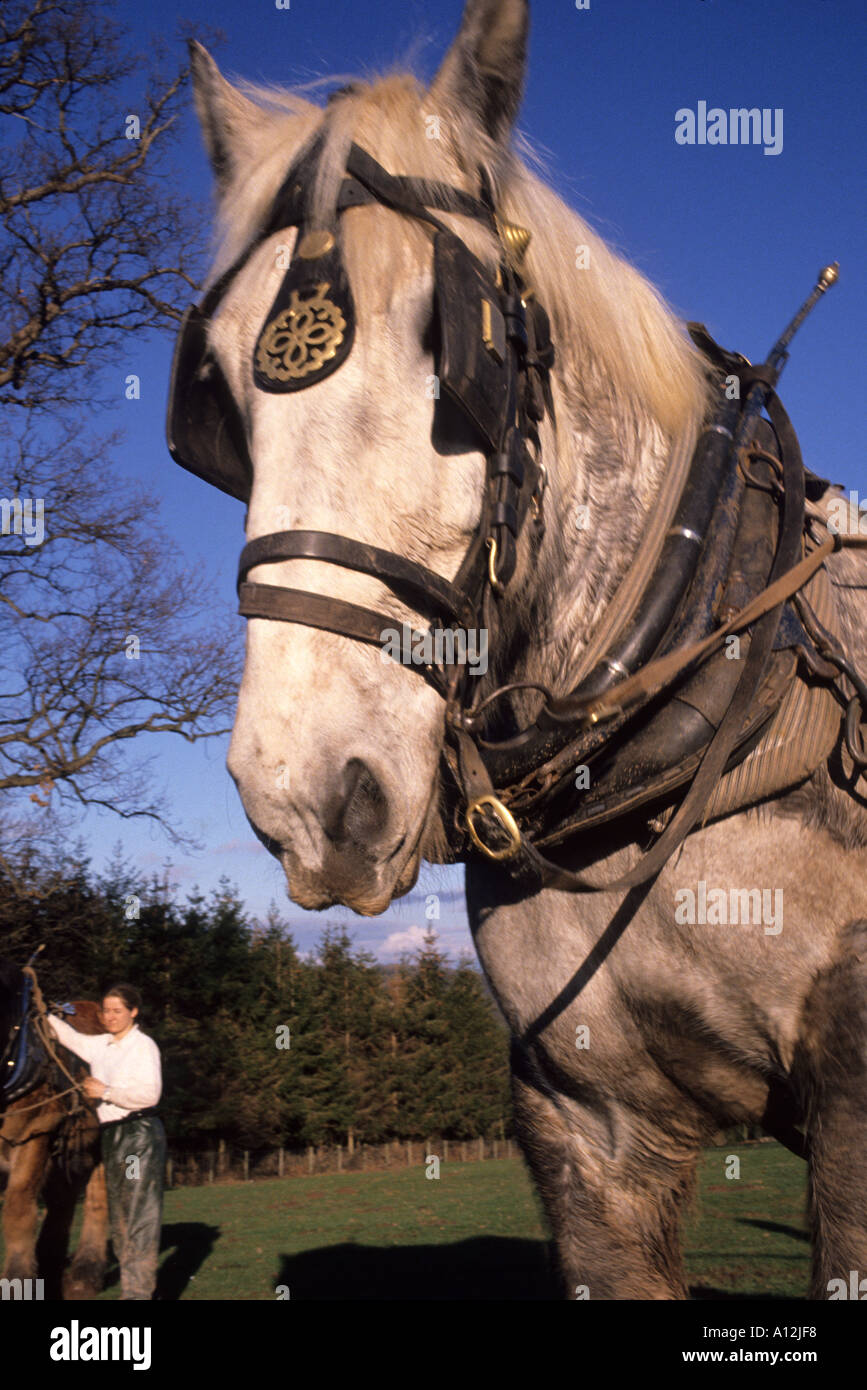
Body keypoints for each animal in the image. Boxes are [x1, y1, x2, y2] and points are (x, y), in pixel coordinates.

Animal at [0, 959, 108, 1300]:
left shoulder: (35, 1133)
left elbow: (18, 1207)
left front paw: (17, 1281)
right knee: (62, 1199)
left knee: (98, 1197)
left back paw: (85, 1273)